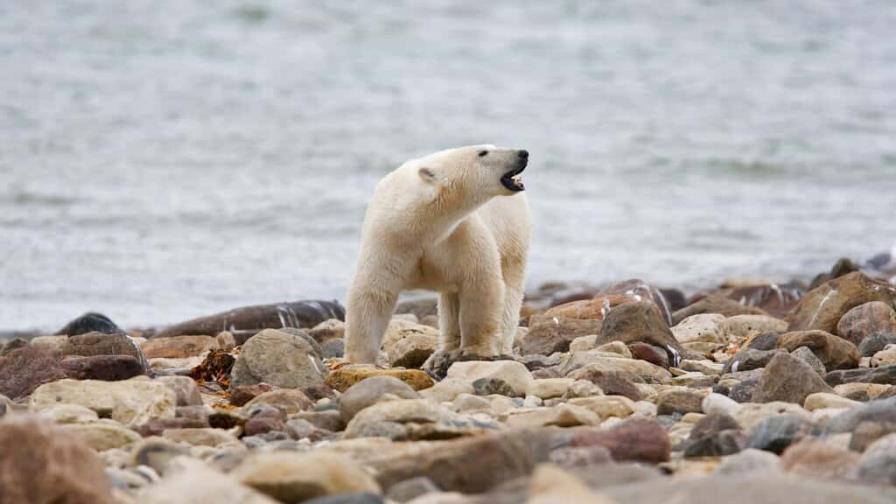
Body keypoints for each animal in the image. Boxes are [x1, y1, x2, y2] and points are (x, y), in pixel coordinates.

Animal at [344, 144, 528, 364]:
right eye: (483, 152)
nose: (523, 153)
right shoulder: (389, 240)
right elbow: (374, 293)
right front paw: (360, 358)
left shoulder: (461, 234)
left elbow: (480, 283)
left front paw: (477, 349)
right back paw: (445, 351)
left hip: (512, 235)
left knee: (509, 290)